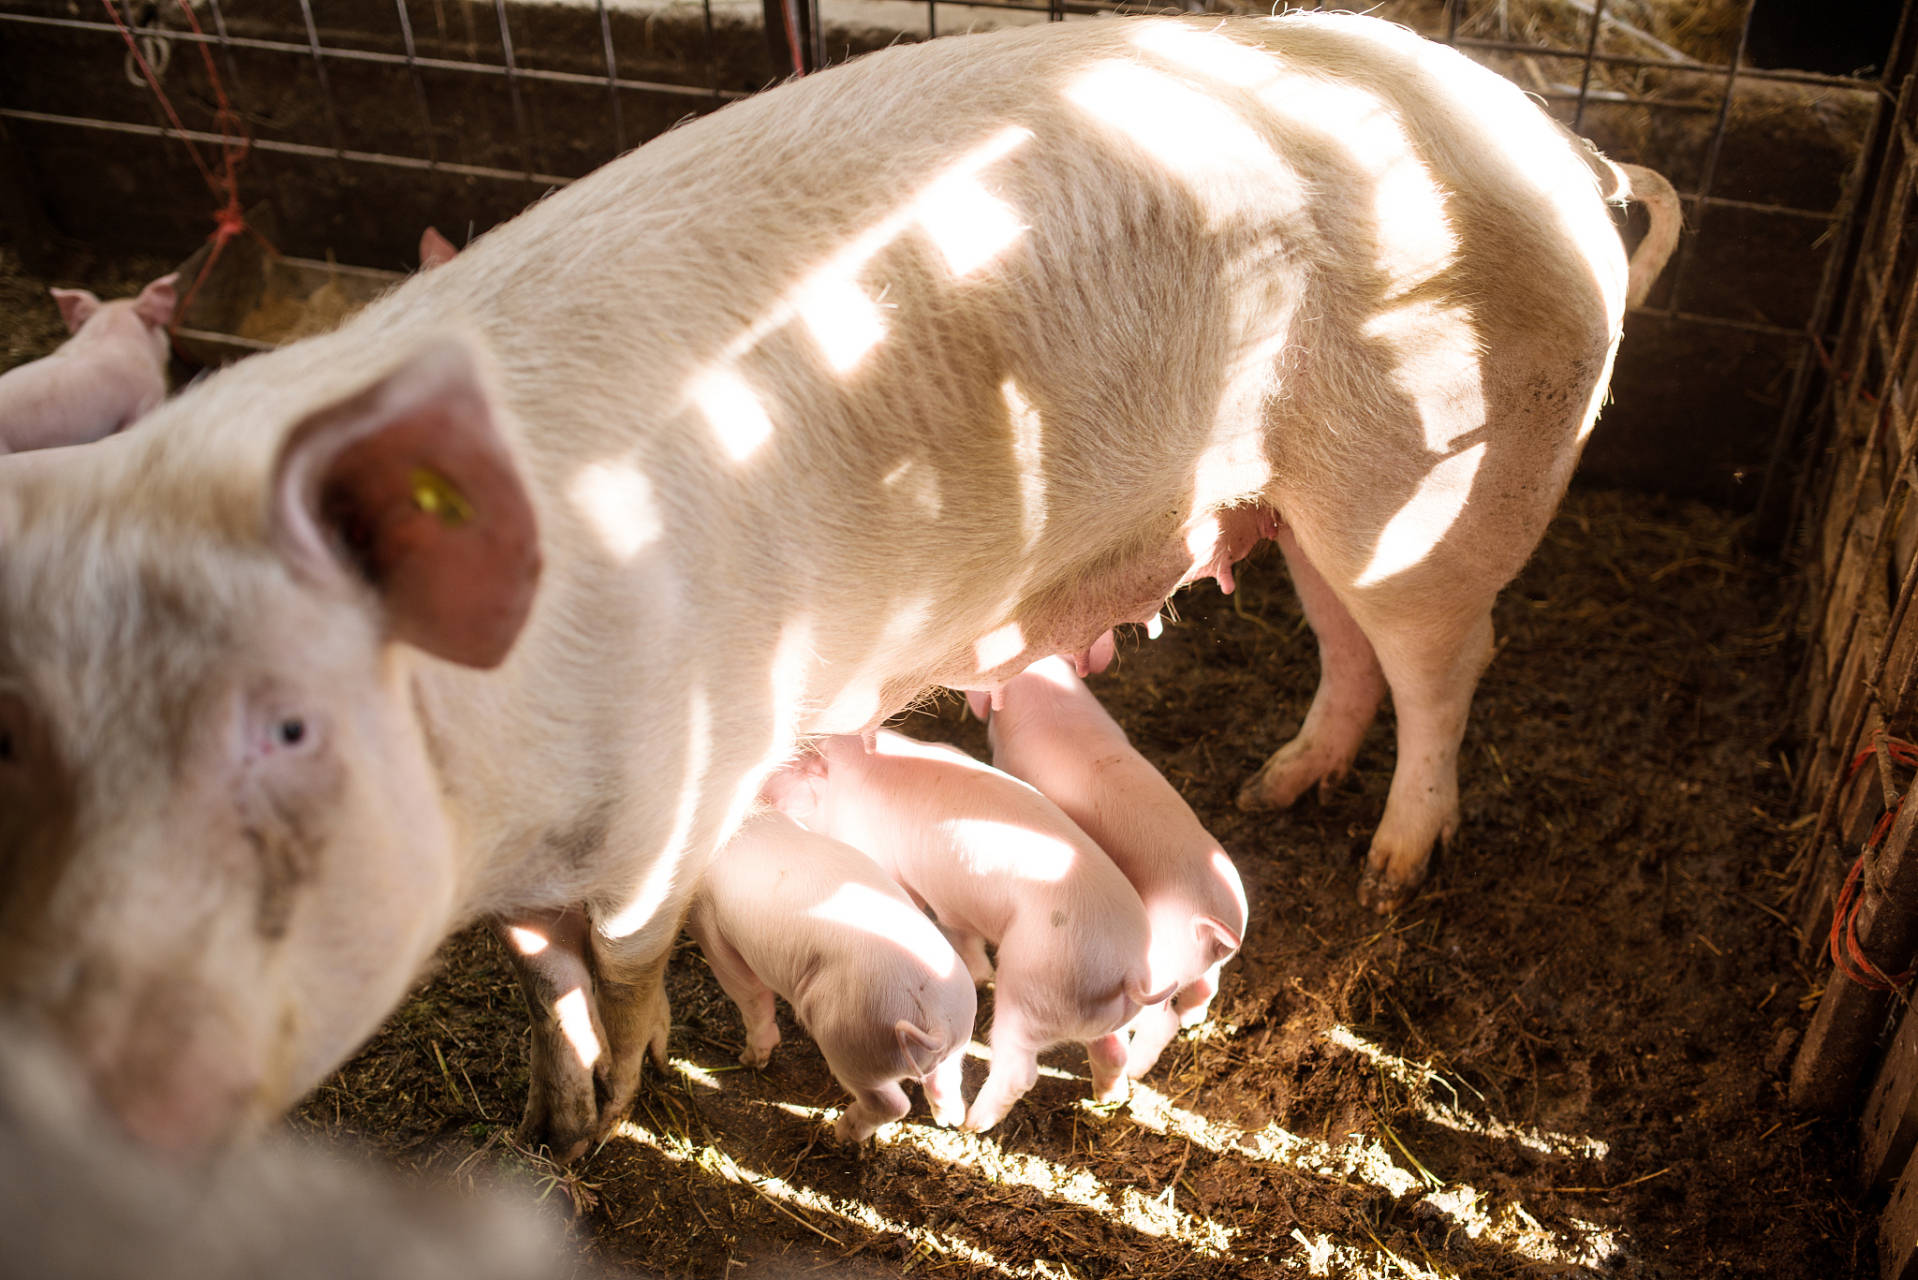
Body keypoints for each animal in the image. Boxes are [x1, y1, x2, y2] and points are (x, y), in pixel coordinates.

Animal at [682, 809, 974, 1143]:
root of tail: (937, 1026)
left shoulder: (710, 928)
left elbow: (748, 994)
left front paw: (749, 1060)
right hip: (954, 1044)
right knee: (946, 1084)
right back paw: (950, 1119)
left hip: (851, 1041)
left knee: (891, 1103)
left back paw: (842, 1134)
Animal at [763, 729, 1166, 1128]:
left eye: (785, 765)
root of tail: (1128, 973)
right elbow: (962, 933)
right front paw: (977, 973)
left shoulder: (885, 861)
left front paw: (977, 975)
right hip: (1102, 1014)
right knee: (1113, 1050)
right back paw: (1108, 1100)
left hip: (1033, 991)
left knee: (1019, 1068)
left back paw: (973, 1122)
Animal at [982, 660, 1250, 1082]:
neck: (1052, 704)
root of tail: (1209, 918)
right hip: (1207, 960)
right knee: (1203, 988)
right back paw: (1192, 1020)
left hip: (1162, 962)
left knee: (1161, 1019)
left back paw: (1138, 1071)